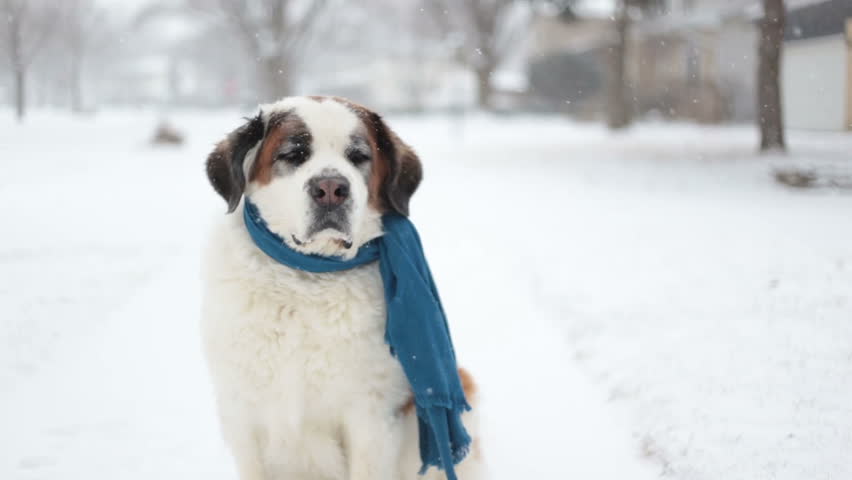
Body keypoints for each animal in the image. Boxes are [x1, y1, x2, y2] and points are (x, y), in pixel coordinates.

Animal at [196, 97, 482, 480]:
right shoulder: (241, 413)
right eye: (295, 154)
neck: (306, 277)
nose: (331, 188)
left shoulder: (370, 418)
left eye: (358, 156)